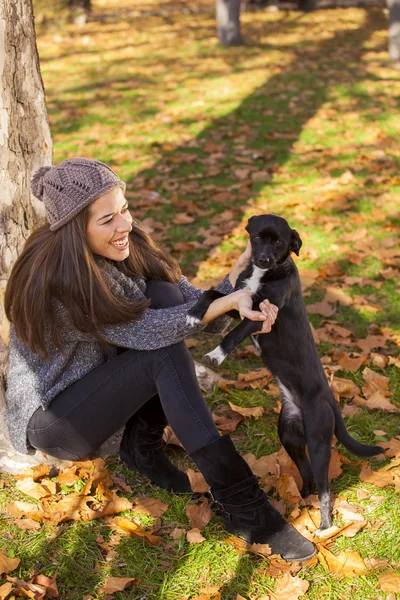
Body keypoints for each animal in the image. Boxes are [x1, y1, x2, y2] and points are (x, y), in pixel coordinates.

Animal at [188, 214, 384, 528]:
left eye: (279, 242)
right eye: (257, 237)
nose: (263, 258)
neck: (264, 273)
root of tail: (329, 398)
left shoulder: (260, 314)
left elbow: (232, 335)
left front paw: (217, 354)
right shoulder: (240, 303)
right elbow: (212, 294)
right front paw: (195, 313)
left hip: (318, 442)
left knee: (325, 487)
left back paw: (324, 525)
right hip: (289, 436)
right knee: (307, 475)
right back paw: (299, 502)